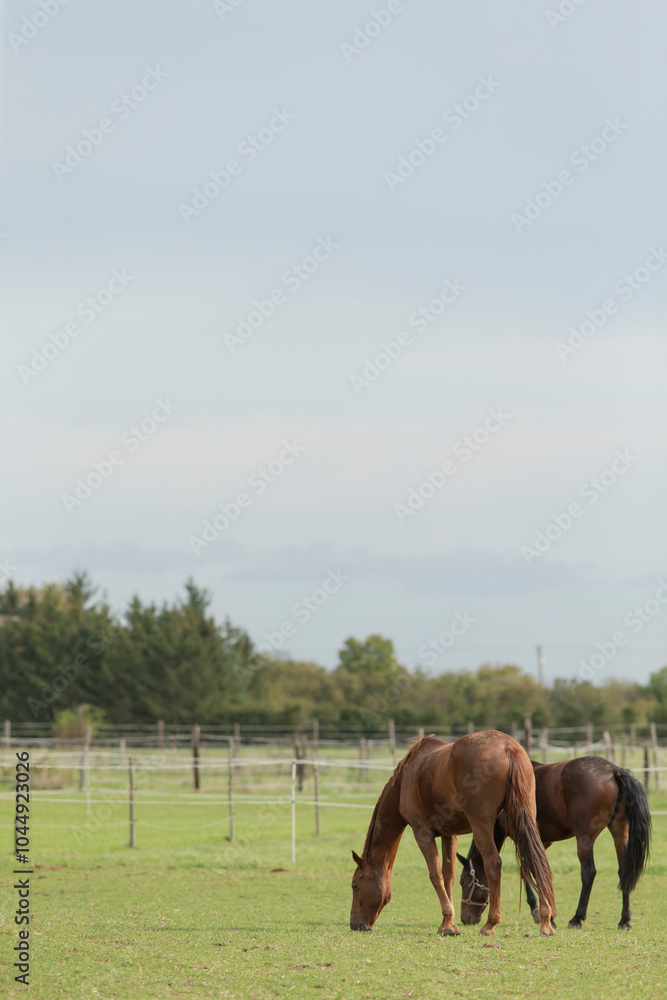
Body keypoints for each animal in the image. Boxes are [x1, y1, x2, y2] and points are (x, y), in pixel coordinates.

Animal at [349, 731, 556, 937]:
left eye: (355, 886)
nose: (355, 925)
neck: (406, 777)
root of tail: (508, 747)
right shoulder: (449, 835)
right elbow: (448, 875)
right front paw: (448, 923)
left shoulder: (422, 833)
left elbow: (435, 875)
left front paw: (448, 923)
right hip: (526, 819)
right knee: (537, 862)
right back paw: (546, 921)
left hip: (482, 825)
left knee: (494, 863)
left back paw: (490, 924)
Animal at [458, 755, 651, 930]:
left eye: (462, 881)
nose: (466, 918)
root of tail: (614, 770)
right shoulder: (542, 841)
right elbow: (533, 869)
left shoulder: (523, 838)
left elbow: (526, 871)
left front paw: (540, 911)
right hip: (619, 830)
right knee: (624, 871)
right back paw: (624, 920)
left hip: (585, 838)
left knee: (588, 872)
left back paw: (577, 918)